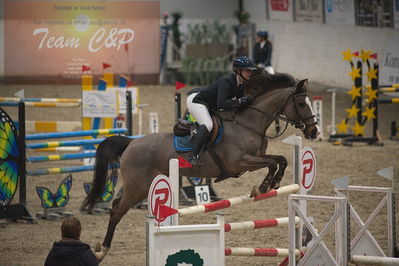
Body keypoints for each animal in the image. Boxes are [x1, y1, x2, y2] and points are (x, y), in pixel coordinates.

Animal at [81, 71, 322, 260]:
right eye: (301, 103)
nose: (314, 132)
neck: (248, 123)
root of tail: (132, 142)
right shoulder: (239, 163)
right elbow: (273, 163)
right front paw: (263, 187)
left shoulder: (255, 158)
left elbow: (280, 159)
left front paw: (271, 184)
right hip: (138, 186)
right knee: (116, 210)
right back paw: (102, 250)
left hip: (143, 185)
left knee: (117, 205)